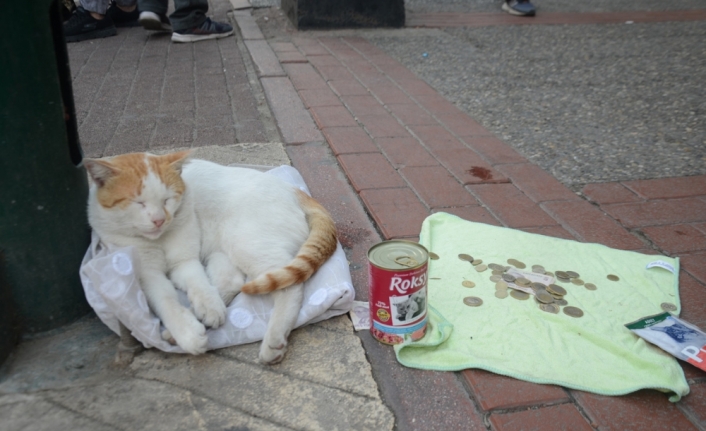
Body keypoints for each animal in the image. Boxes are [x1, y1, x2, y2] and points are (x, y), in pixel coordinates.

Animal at [84, 152, 336, 364]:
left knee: (289, 287)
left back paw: (273, 341)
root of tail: (292, 189)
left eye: (167, 200)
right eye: (139, 202)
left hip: (247, 244)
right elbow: (168, 300)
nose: (159, 220)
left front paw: (190, 332)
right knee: (230, 283)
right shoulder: (148, 274)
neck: (159, 239)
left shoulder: (186, 261)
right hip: (223, 253)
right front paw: (189, 329)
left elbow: (195, 288)